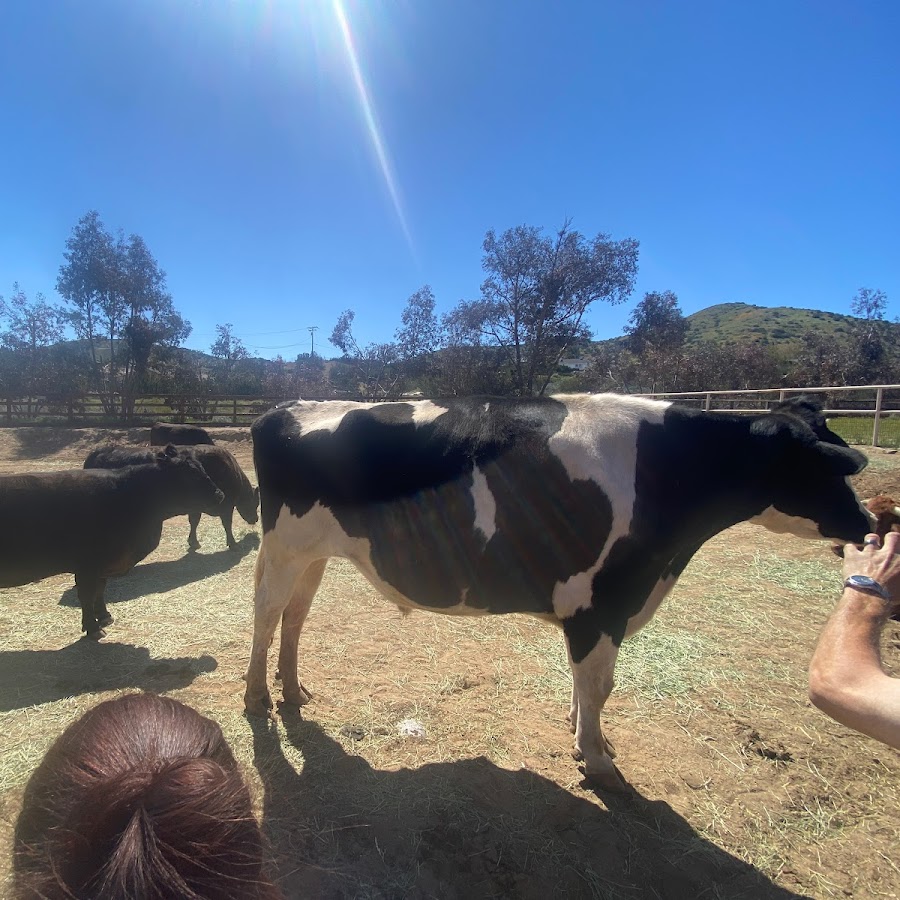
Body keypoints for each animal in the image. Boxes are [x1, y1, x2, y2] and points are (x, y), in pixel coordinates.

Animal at [0, 446, 223, 636]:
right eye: (190, 474)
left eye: (202, 468)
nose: (219, 495)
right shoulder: (87, 565)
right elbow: (87, 595)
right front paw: (93, 628)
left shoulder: (102, 565)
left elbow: (100, 590)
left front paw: (104, 616)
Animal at [84, 442, 258, 548]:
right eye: (255, 503)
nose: (255, 519)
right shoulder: (227, 505)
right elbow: (227, 524)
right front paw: (233, 544)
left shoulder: (197, 507)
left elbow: (194, 522)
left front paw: (193, 542)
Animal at [244, 394, 872, 788]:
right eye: (830, 470)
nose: (867, 523)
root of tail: (289, 407)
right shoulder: (604, 602)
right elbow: (600, 685)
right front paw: (595, 757)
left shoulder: (592, 608)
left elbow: (584, 679)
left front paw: (583, 736)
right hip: (286, 547)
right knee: (267, 614)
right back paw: (256, 697)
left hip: (314, 554)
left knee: (295, 617)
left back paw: (293, 690)